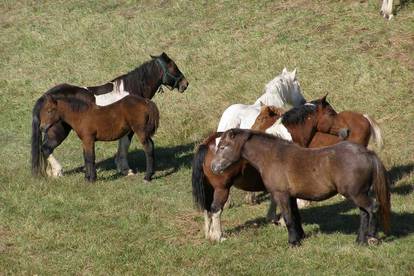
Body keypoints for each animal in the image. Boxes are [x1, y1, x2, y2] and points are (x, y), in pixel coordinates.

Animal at [192, 99, 346, 242]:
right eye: (331, 113)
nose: (345, 131)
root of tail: (208, 143)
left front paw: (274, 219)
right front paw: (284, 221)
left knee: (207, 209)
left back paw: (209, 234)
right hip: (222, 188)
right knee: (215, 209)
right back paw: (218, 236)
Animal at [210, 129, 392, 246]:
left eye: (223, 147)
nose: (213, 167)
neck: (273, 156)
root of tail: (367, 153)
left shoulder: (281, 195)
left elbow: (288, 218)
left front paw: (293, 242)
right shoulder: (291, 196)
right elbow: (295, 217)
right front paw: (300, 237)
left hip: (356, 194)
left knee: (373, 207)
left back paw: (371, 237)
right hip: (359, 194)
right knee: (364, 213)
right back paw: (360, 241)